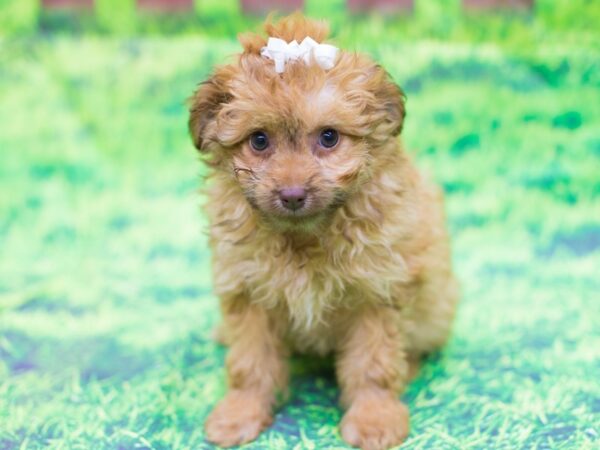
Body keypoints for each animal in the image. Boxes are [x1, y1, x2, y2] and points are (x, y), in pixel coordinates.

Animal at [189, 14, 460, 450]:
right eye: (259, 140)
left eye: (329, 137)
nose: (292, 194)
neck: (304, 236)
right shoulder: (247, 291)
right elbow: (250, 362)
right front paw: (240, 413)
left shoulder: (377, 292)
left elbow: (374, 364)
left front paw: (374, 418)